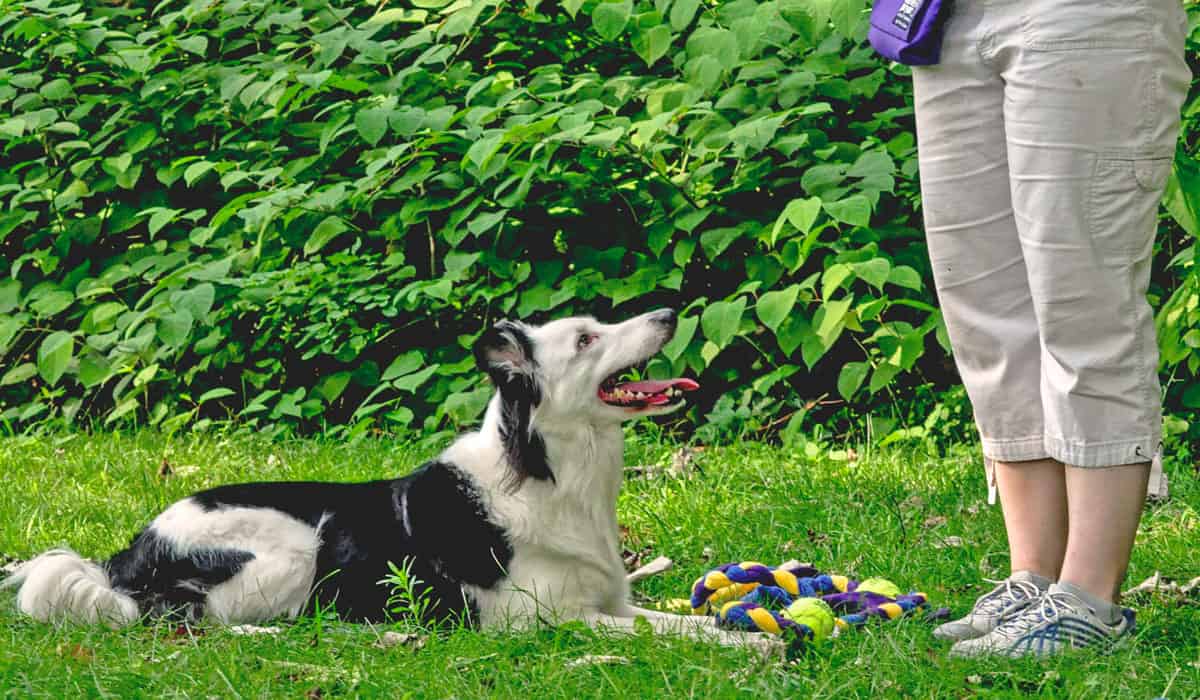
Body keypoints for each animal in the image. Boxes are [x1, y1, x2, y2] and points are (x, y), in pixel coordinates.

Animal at [2, 309, 777, 653]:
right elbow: (667, 634)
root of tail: (127, 554)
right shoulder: (546, 619)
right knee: (190, 619)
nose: (669, 312)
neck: (550, 471)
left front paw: (745, 629)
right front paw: (760, 643)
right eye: (587, 339)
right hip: (292, 551)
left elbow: (680, 621)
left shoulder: (608, 601)